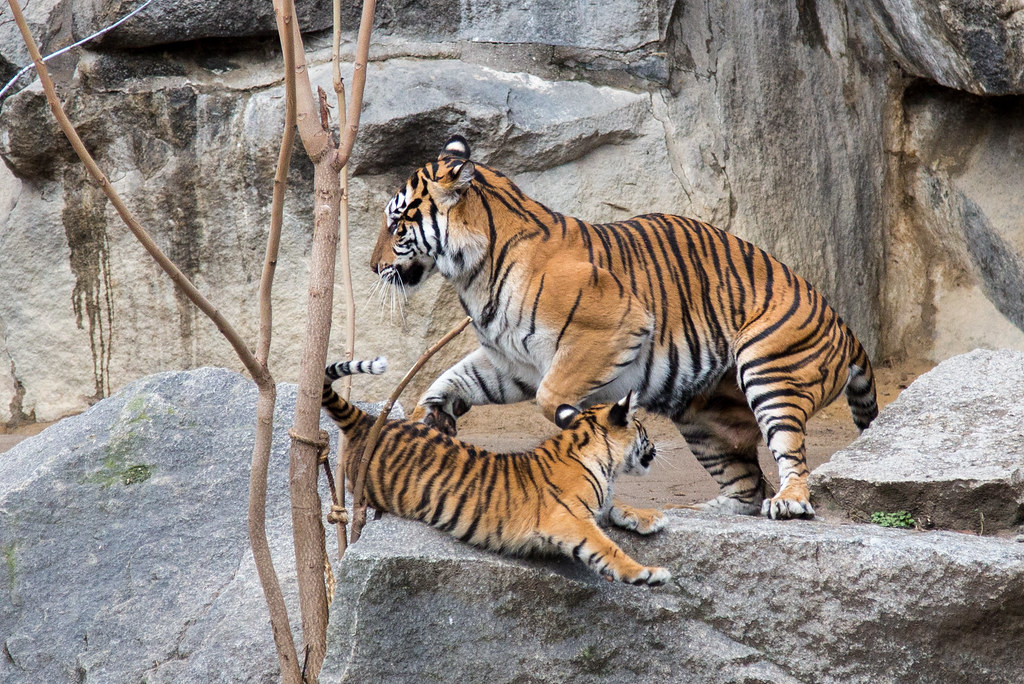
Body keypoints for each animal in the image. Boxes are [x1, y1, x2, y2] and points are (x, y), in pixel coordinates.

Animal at [322, 357, 671, 586]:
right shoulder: (568, 518)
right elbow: (606, 548)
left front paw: (648, 517)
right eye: (643, 429)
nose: (655, 446)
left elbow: (615, 504)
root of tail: (369, 421)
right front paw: (648, 573)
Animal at [369, 135, 878, 520]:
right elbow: (450, 379)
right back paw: (698, 512)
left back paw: (789, 502)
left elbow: (551, 397)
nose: (373, 267)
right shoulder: (512, 360)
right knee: (747, 489)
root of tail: (845, 327)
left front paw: (582, 422)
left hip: (769, 366)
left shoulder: (612, 329)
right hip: (704, 425)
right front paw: (432, 416)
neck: (473, 272)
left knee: (789, 454)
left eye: (396, 224)